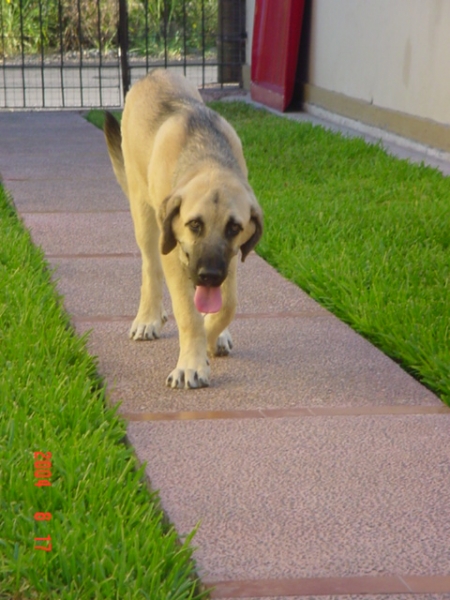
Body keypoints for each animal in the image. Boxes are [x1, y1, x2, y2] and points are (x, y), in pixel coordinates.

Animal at [103, 69, 262, 390]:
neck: (207, 158)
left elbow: (227, 304)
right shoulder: (176, 255)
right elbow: (189, 315)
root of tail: (153, 73)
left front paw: (213, 338)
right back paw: (148, 317)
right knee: (150, 267)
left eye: (234, 227)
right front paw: (192, 364)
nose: (209, 275)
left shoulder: (230, 259)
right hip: (144, 214)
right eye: (194, 224)